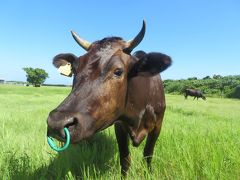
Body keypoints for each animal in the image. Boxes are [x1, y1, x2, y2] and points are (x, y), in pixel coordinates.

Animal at [47, 20, 172, 175]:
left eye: (118, 71)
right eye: (75, 69)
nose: (56, 123)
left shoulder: (158, 126)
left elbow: (148, 154)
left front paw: (149, 173)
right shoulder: (119, 126)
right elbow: (125, 160)